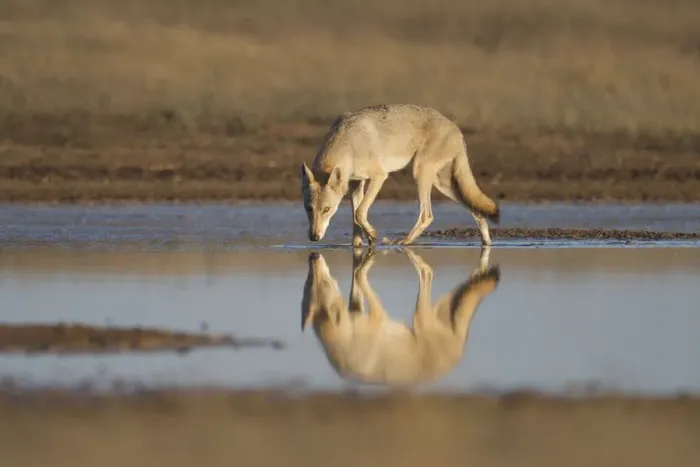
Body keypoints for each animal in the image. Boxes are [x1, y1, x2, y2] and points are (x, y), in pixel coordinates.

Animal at [300, 104, 500, 247]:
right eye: (309, 208)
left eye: (326, 209)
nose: (314, 237)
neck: (348, 143)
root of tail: (456, 128)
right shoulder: (356, 184)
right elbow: (356, 218)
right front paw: (358, 244)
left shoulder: (379, 177)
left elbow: (359, 213)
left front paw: (372, 235)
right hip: (443, 184)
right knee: (477, 211)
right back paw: (486, 243)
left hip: (420, 173)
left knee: (427, 216)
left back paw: (404, 243)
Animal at [300, 247, 500, 387]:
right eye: (310, 282)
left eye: (324, 283)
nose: (314, 257)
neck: (346, 336)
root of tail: (459, 352)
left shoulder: (379, 315)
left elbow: (359, 274)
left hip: (420, 316)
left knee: (427, 273)